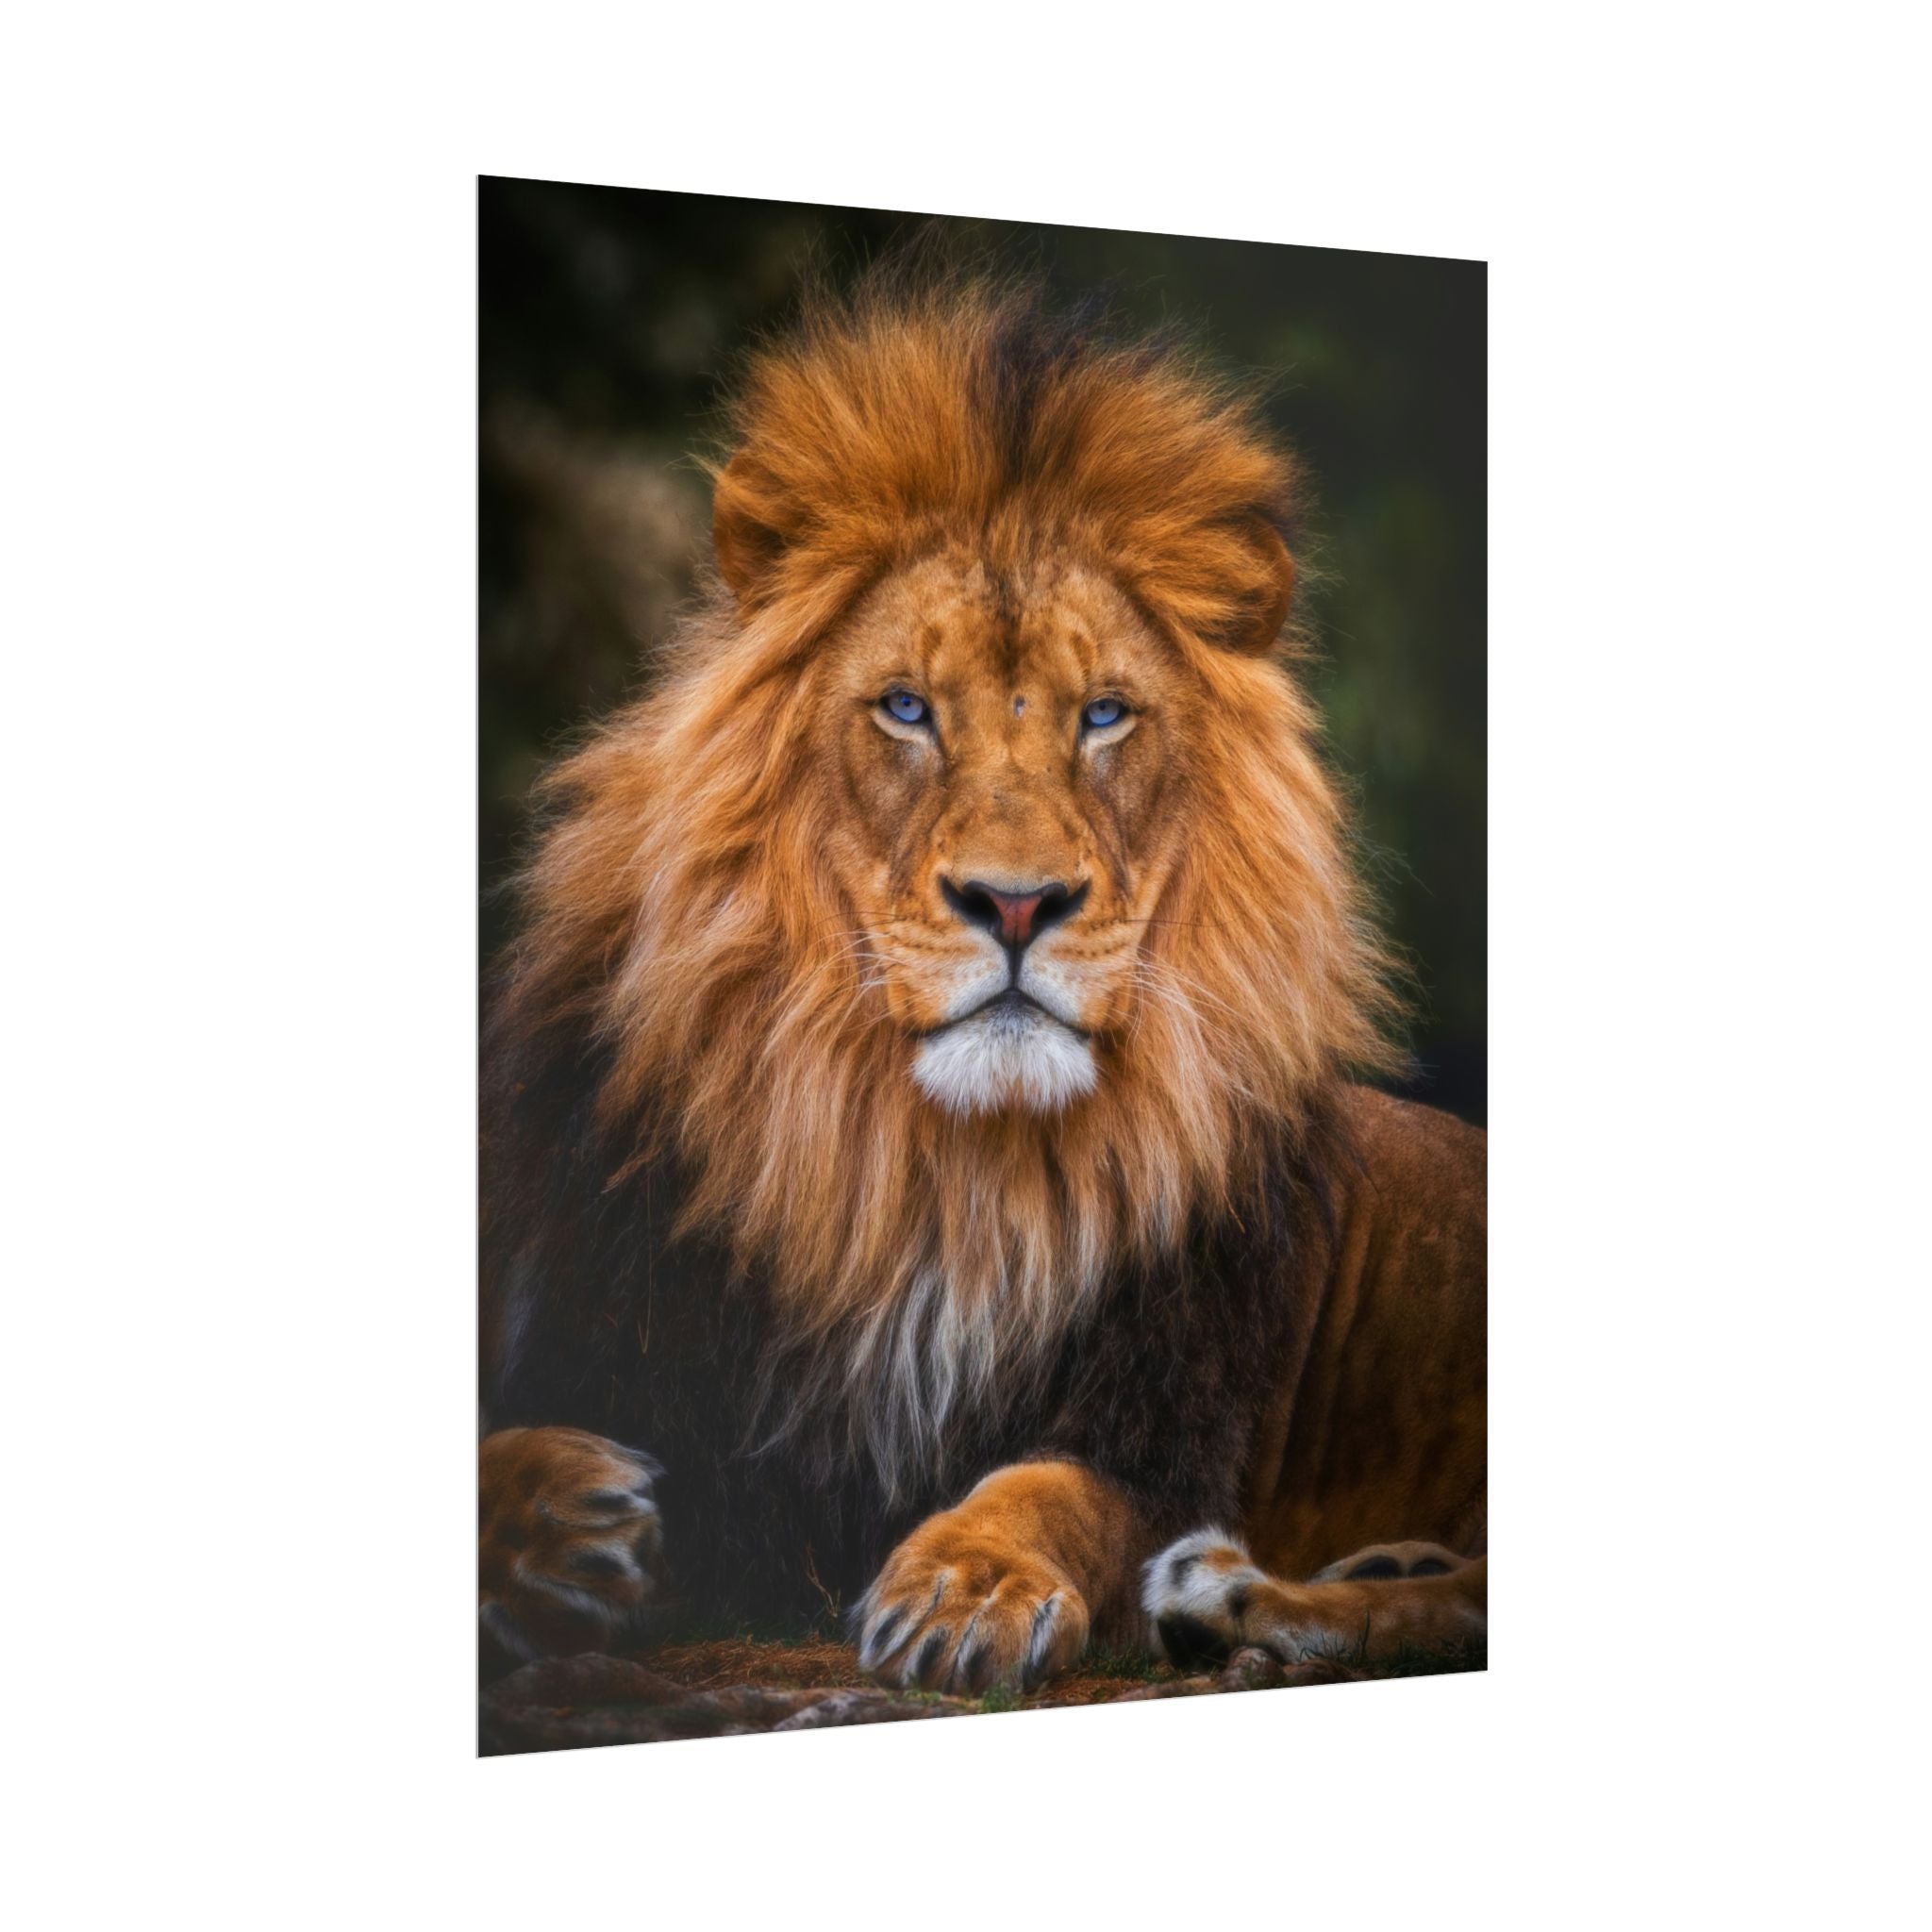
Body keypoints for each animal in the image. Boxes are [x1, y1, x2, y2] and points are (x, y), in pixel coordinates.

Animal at [479, 270, 1486, 1693]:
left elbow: (1047, 1489)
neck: (933, 1175)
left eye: (1104, 715)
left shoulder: (1160, 1424)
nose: (1016, 903)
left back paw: (1237, 1597)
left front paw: (968, 1584)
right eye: (906, 708)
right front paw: (558, 1519)